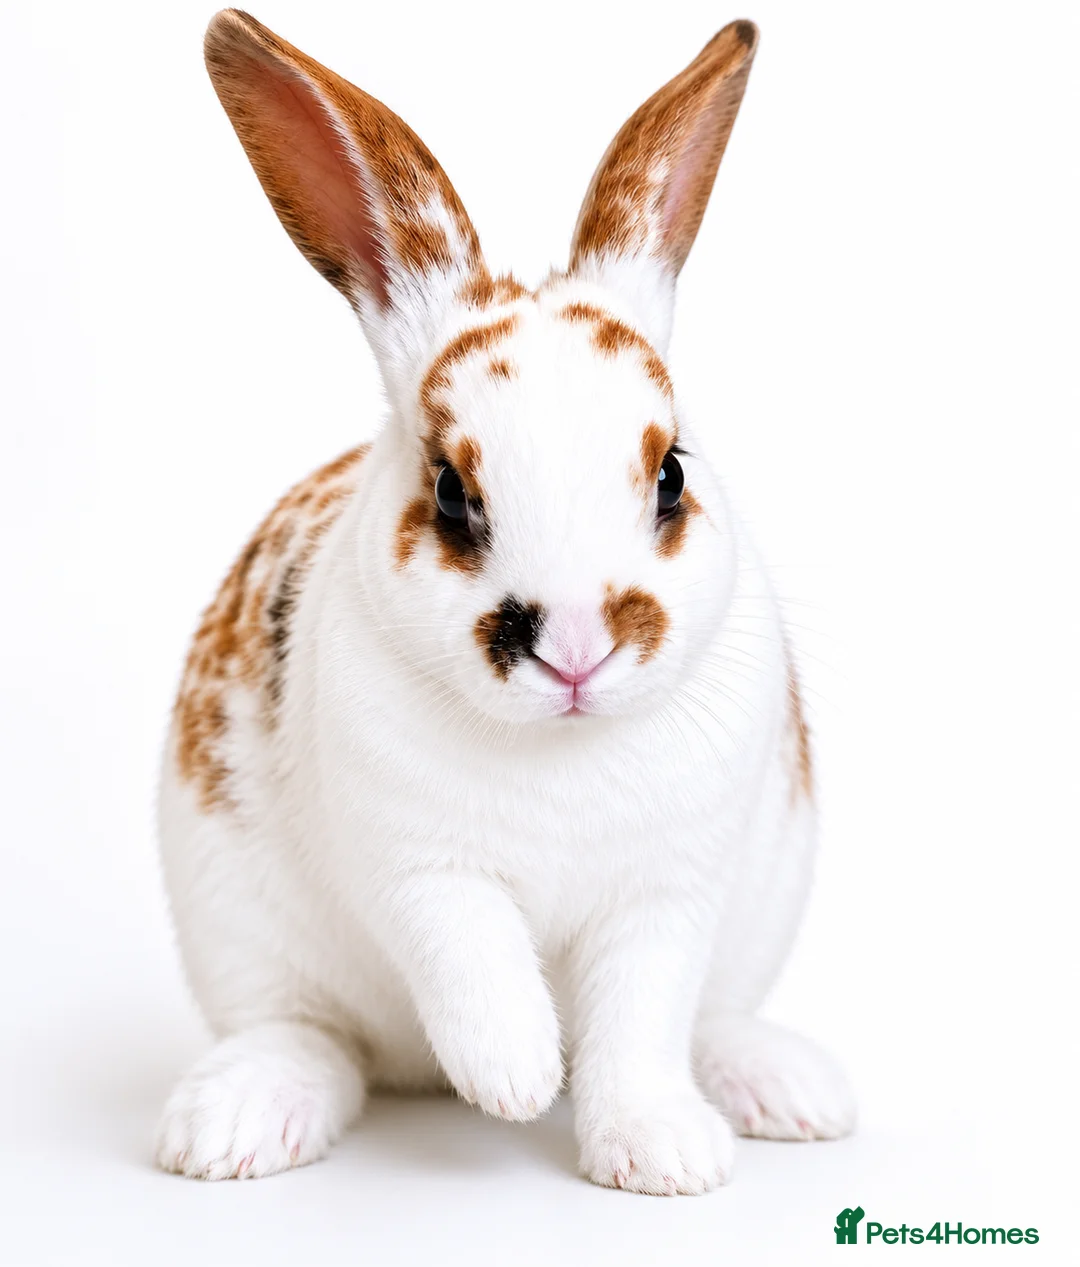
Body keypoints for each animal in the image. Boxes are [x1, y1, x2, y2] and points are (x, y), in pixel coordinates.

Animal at [155, 9, 855, 1195]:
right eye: (451, 491)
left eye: (671, 474)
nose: (575, 647)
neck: (558, 749)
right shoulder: (417, 865)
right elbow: (472, 958)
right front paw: (518, 1079)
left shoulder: (667, 894)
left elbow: (638, 1022)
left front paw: (660, 1154)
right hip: (235, 925)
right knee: (308, 1037)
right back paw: (231, 1125)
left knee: (710, 1017)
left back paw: (791, 1091)